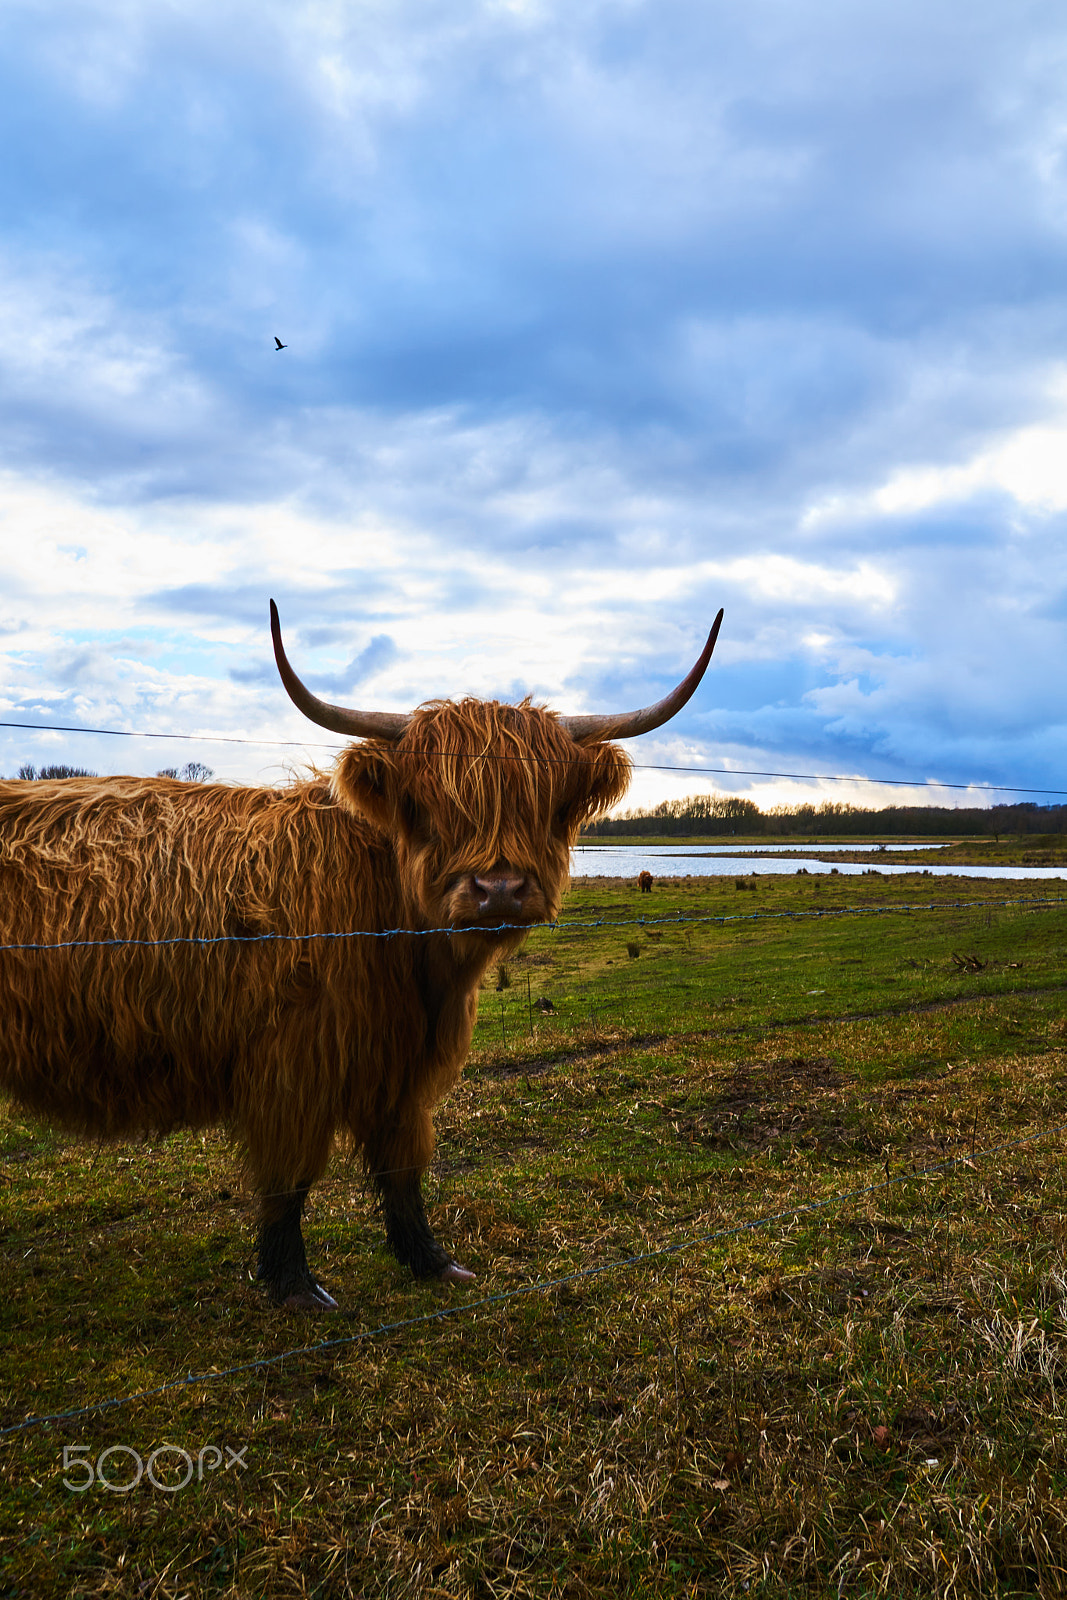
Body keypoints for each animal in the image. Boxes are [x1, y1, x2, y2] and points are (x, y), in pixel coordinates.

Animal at [0, 601, 726, 1312]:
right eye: (431, 806)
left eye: (543, 803)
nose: (498, 889)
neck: (412, 959)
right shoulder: (293, 1065)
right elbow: (290, 1177)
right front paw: (296, 1286)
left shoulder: (402, 1065)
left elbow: (403, 1164)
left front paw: (432, 1262)